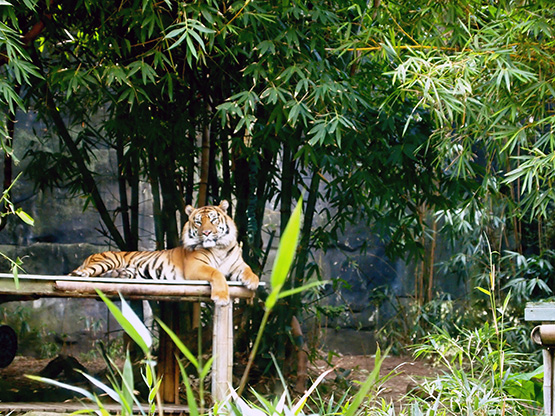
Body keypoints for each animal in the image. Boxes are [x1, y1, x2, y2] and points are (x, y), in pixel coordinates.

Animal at [70, 200, 260, 304]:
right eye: (198, 222)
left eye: (213, 220)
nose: (206, 232)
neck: (219, 247)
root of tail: (91, 255)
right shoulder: (196, 266)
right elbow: (216, 273)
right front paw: (221, 296)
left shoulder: (238, 265)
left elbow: (251, 271)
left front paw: (252, 282)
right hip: (107, 261)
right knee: (77, 273)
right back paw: (81, 275)